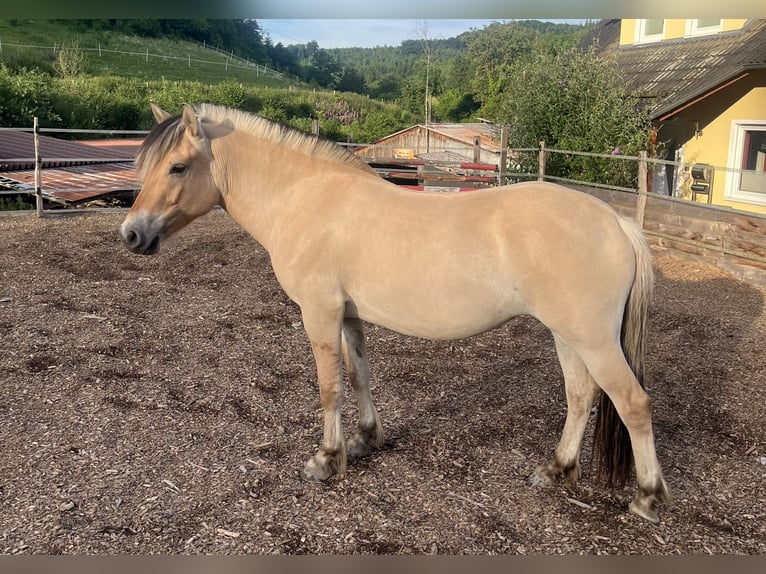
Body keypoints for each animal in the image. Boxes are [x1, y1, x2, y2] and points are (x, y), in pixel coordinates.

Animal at [120, 103, 670, 523]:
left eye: (177, 167)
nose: (131, 234)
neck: (306, 199)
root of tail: (617, 223)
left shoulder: (319, 313)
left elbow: (329, 387)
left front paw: (326, 460)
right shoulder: (348, 316)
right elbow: (359, 375)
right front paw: (366, 440)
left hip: (592, 339)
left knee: (633, 403)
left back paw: (646, 498)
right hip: (568, 335)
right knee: (581, 396)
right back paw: (556, 470)